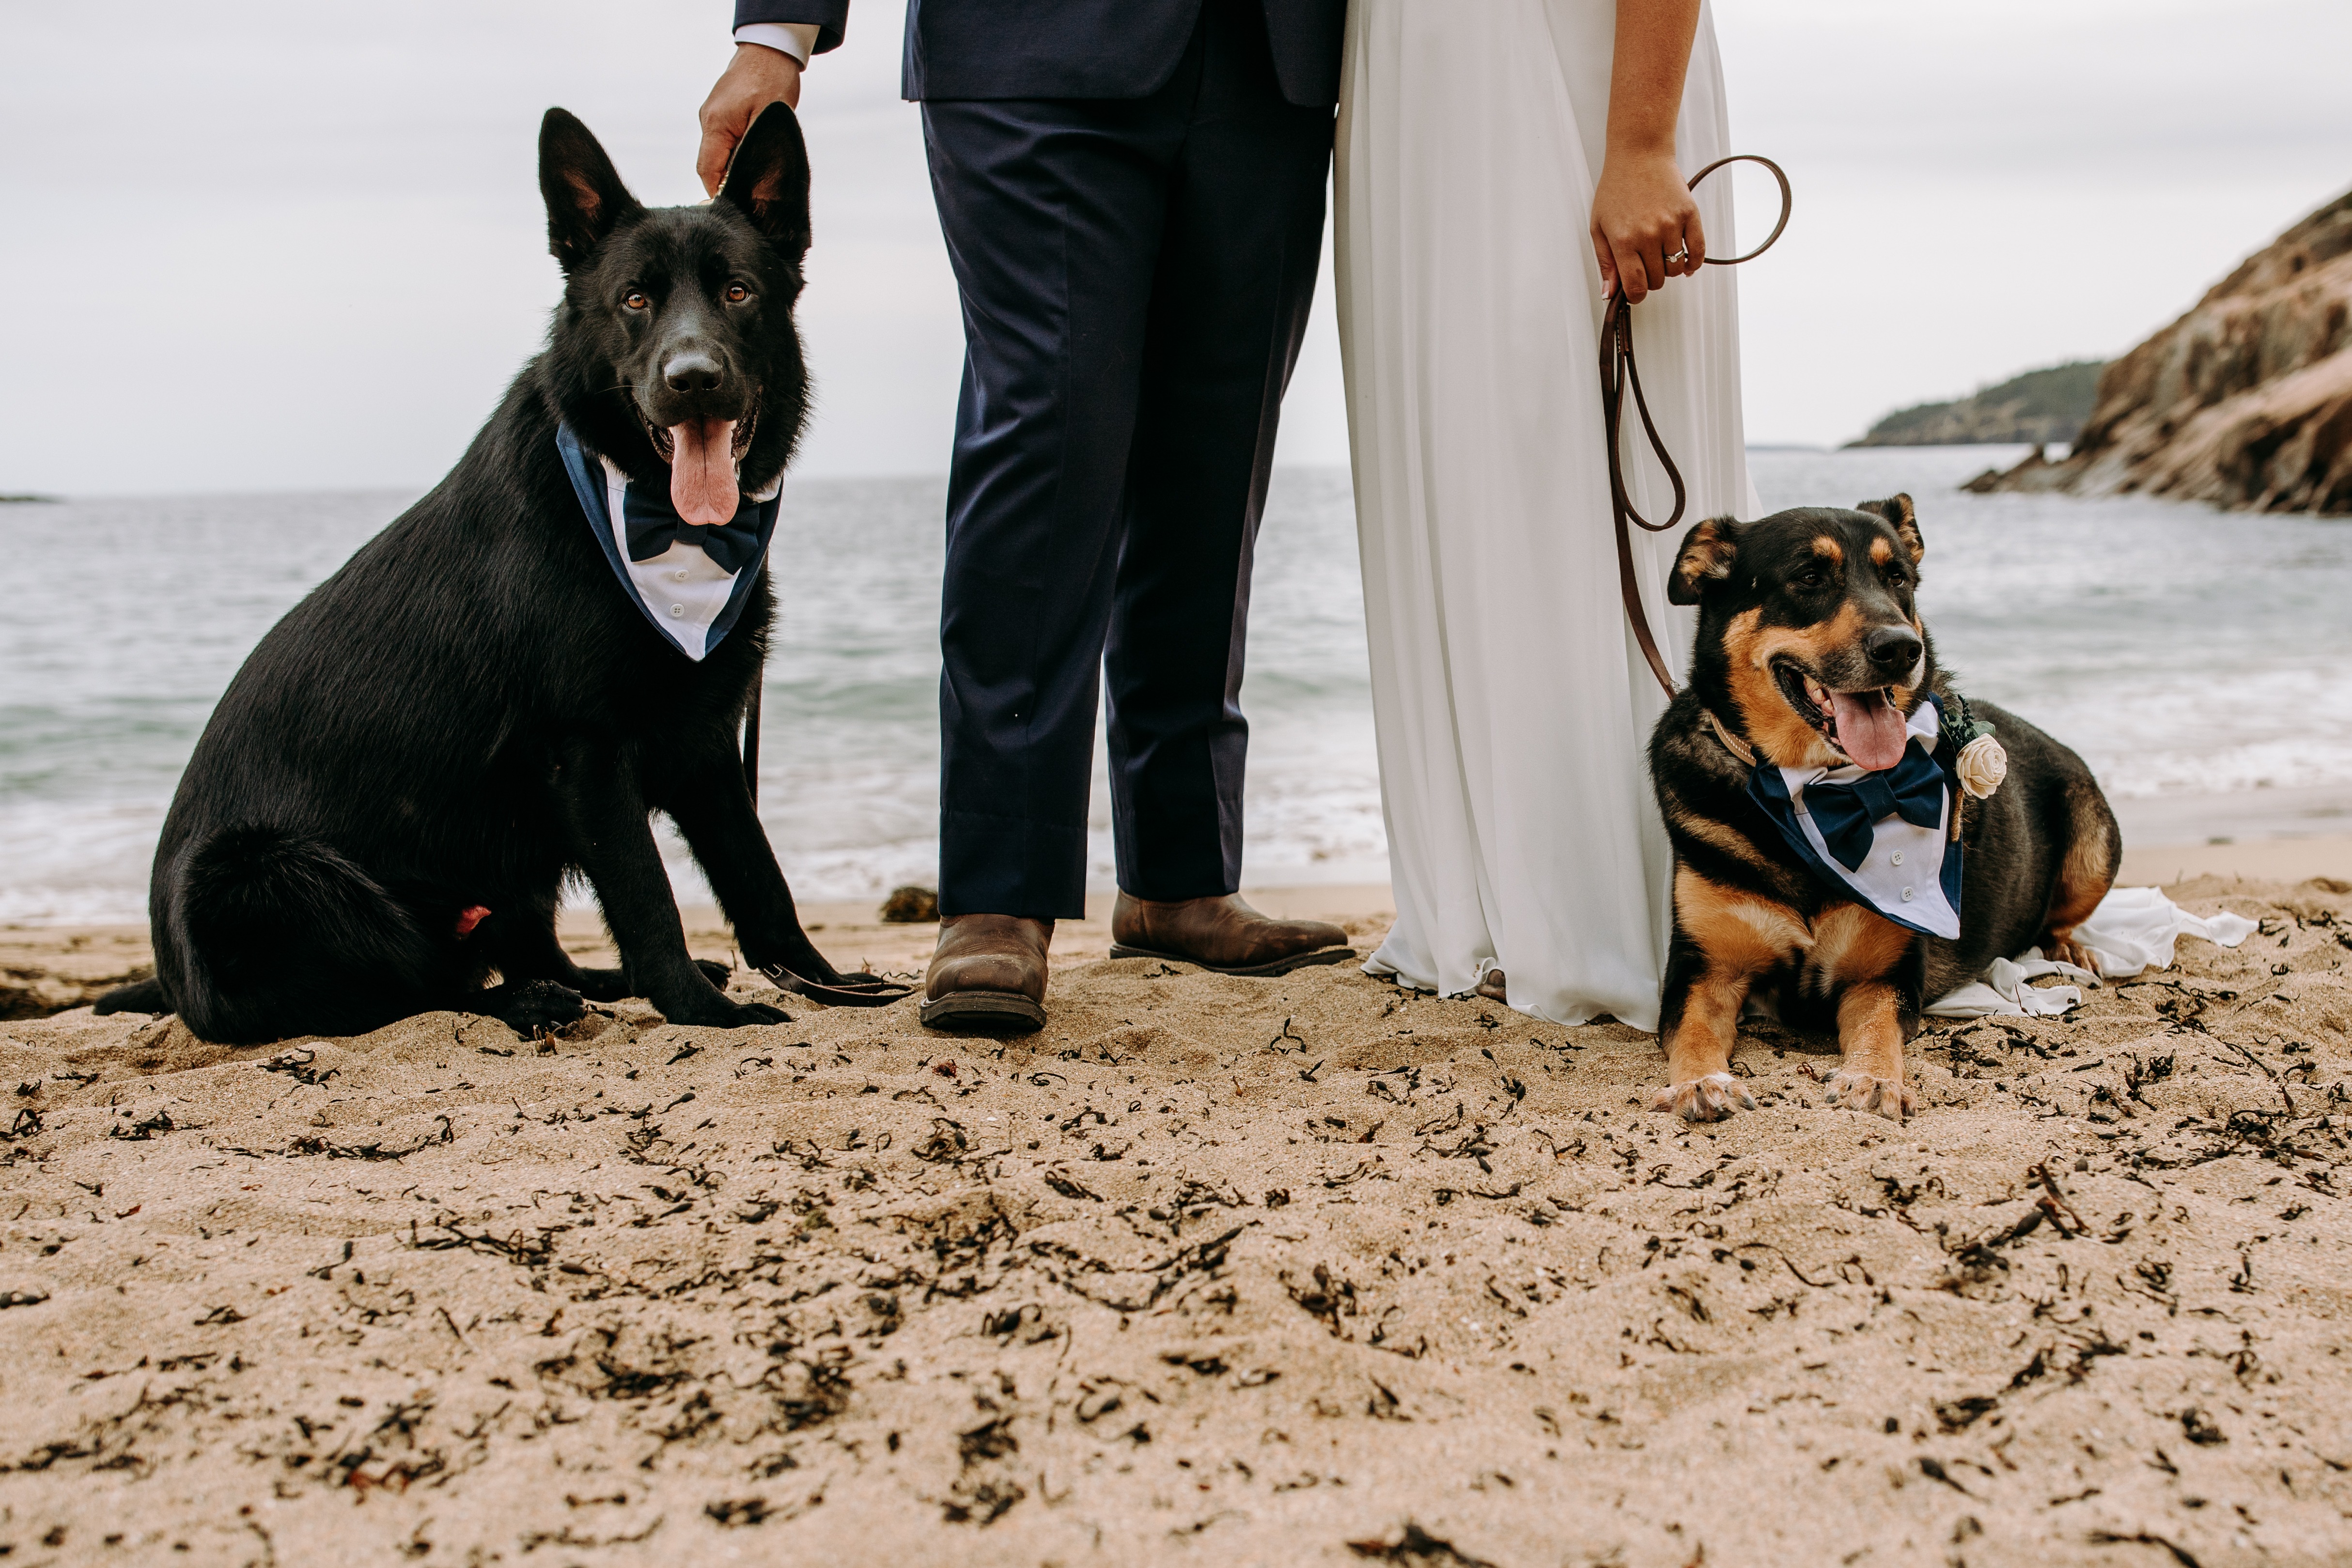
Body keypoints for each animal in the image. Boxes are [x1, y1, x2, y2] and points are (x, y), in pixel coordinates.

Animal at [101, 104, 860, 1048]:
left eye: (737, 293)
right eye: (635, 300)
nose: (693, 380)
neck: (653, 521)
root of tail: (175, 983)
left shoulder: (706, 747)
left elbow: (761, 879)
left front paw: (825, 981)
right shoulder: (589, 756)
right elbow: (649, 899)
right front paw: (701, 1011)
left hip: (501, 866)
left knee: (518, 946)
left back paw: (582, 985)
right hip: (268, 876)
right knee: (413, 988)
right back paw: (528, 1002)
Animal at [1646, 496, 2126, 1123]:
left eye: (1896, 578)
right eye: (1808, 577)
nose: (1901, 648)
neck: (1816, 789)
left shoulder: (1882, 976)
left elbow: (1877, 1030)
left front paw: (1871, 1079)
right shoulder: (1703, 969)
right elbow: (1694, 1029)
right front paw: (1701, 1082)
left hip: (2095, 844)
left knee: (2066, 912)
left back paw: (2067, 946)